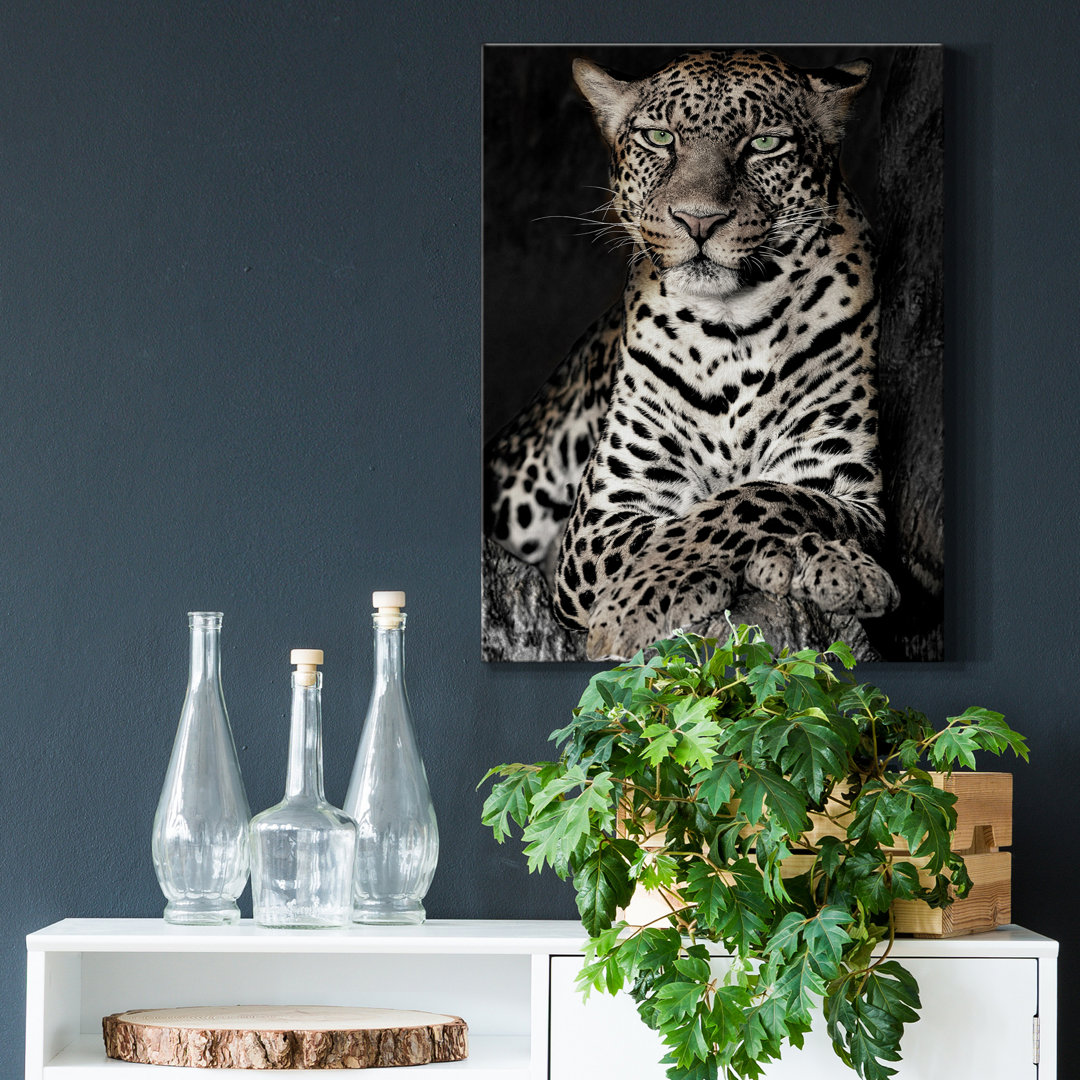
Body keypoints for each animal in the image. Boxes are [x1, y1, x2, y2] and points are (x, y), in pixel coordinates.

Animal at [485, 50, 899, 660]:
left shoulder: (848, 488)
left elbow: (760, 499)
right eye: (660, 138)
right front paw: (635, 606)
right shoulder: (602, 520)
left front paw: (830, 564)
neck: (733, 329)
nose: (699, 219)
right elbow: (686, 524)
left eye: (763, 144)